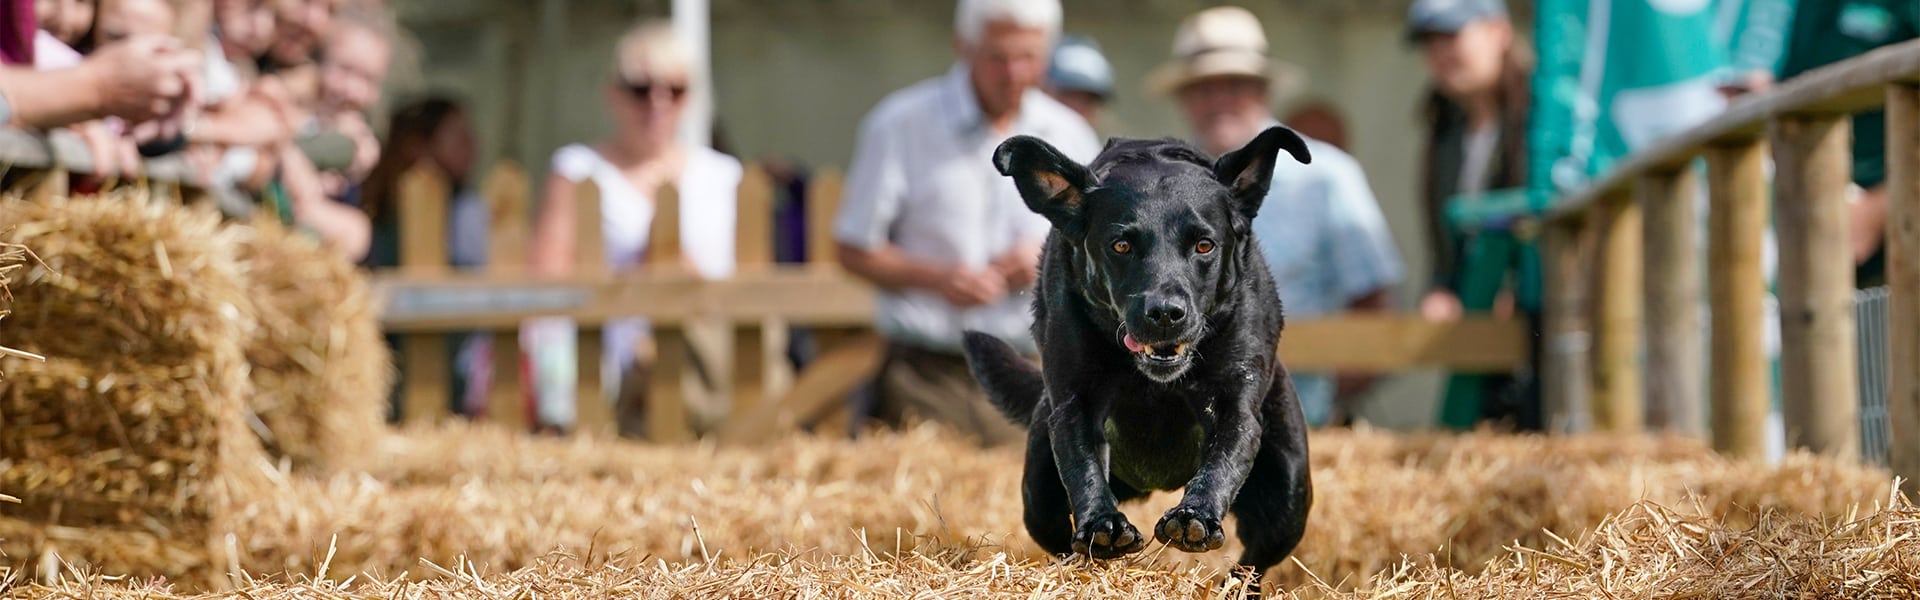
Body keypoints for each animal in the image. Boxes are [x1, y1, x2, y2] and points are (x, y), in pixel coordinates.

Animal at [960, 124, 1320, 584]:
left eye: (1205, 245)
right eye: (1121, 246)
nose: (1165, 313)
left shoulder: (1236, 402)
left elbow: (1222, 458)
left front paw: (1194, 516)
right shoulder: (1074, 402)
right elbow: (1083, 465)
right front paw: (1103, 525)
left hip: (1287, 493)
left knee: (1251, 567)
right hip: (1038, 484)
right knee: (1058, 539)